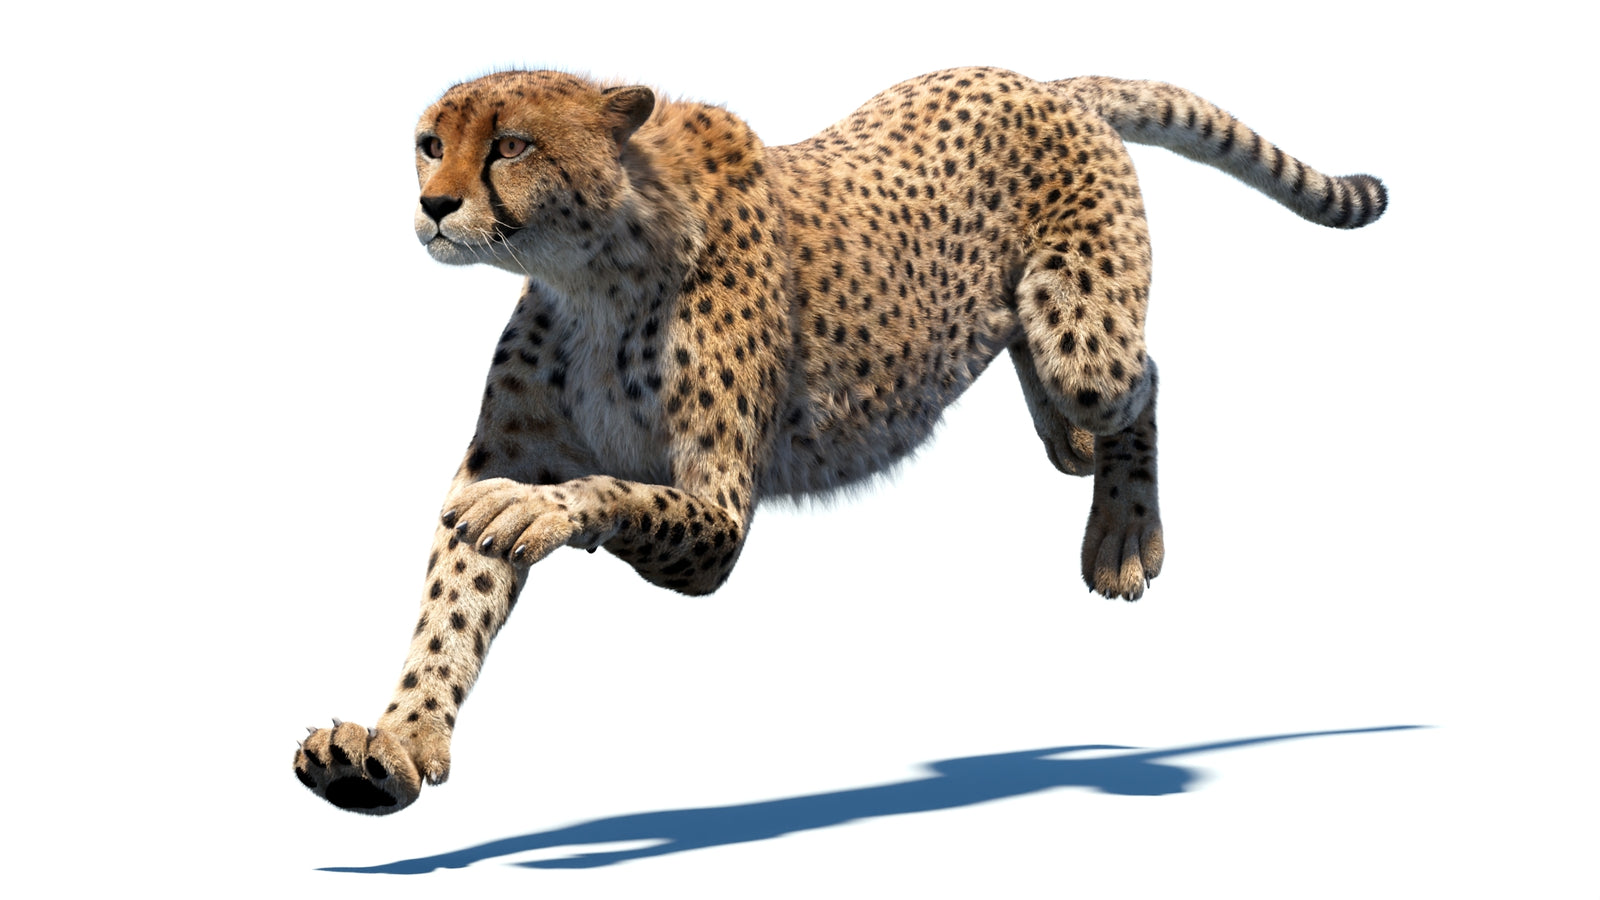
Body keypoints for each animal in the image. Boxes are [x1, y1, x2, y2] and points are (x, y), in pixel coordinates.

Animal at [293, 67, 1387, 814]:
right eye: (429, 142)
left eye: (511, 144)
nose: (434, 205)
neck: (593, 266)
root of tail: (1039, 79)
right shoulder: (515, 446)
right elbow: (451, 609)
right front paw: (392, 750)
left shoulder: (718, 515)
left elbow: (607, 497)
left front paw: (535, 513)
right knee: (1045, 365)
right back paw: (1066, 441)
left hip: (1088, 336)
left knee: (1143, 375)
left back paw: (1121, 532)